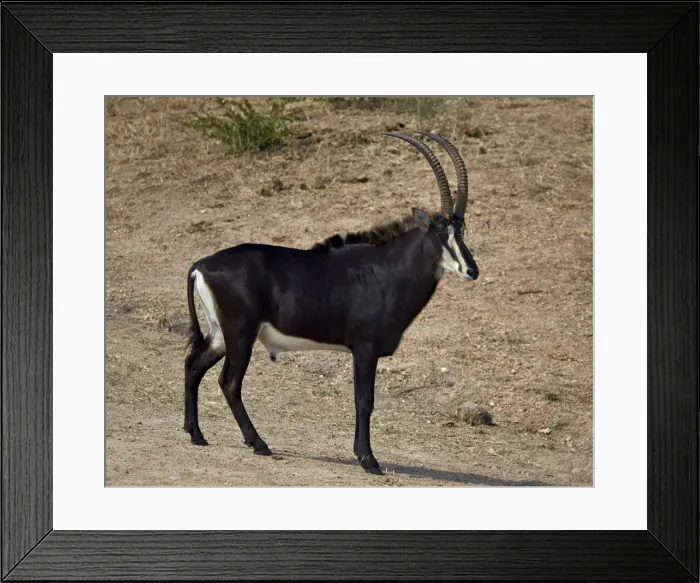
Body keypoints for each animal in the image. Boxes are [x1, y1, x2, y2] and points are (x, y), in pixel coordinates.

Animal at [184, 131, 479, 474]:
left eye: (462, 229)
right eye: (440, 230)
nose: (471, 270)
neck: (387, 269)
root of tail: (201, 265)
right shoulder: (365, 348)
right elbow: (364, 401)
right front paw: (368, 459)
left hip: (221, 334)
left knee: (194, 364)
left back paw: (196, 434)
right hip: (241, 333)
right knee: (229, 382)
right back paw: (258, 443)